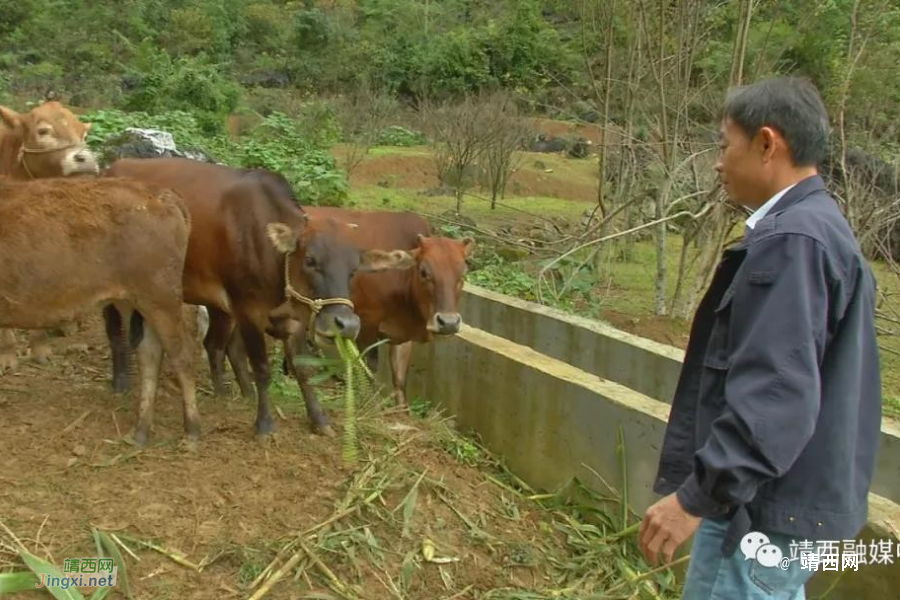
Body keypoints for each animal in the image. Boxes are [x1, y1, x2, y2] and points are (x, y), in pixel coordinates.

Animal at [0, 173, 199, 446]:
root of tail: (159, 194)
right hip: (135, 300)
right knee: (149, 353)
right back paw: (140, 431)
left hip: (161, 297)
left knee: (182, 354)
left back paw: (192, 430)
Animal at [103, 157, 412, 438]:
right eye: (310, 260)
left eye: (353, 269)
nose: (346, 324)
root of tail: (114, 165)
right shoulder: (248, 310)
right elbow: (262, 369)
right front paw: (264, 424)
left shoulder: (291, 320)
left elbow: (302, 369)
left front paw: (319, 419)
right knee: (116, 331)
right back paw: (120, 382)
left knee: (211, 344)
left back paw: (223, 391)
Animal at [268, 206, 474, 408]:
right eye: (424, 272)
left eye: (463, 273)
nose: (448, 322)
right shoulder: (366, 324)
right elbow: (369, 371)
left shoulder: (403, 336)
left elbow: (399, 380)